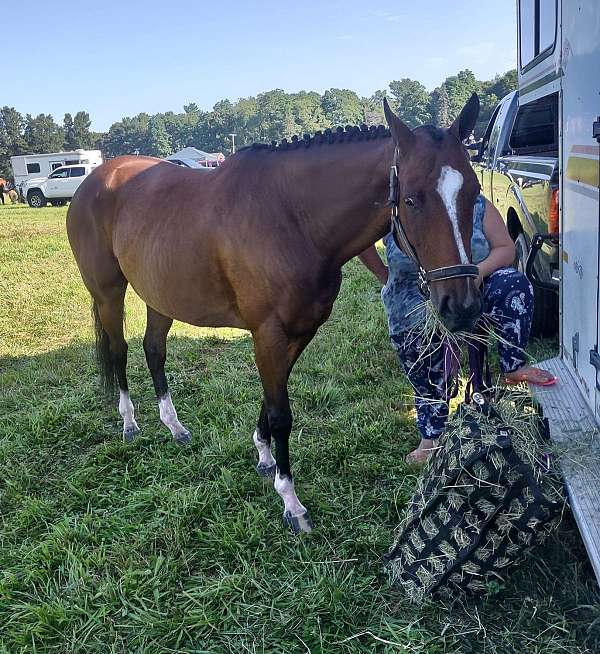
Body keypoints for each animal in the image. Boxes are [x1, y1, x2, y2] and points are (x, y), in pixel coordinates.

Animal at [66, 94, 482, 533]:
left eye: (473, 192)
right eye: (412, 199)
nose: (462, 305)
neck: (292, 218)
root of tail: (96, 179)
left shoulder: (300, 331)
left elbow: (272, 397)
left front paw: (264, 456)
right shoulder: (268, 333)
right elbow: (282, 412)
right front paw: (291, 502)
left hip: (160, 294)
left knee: (153, 350)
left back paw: (175, 426)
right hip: (108, 293)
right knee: (120, 350)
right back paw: (129, 422)